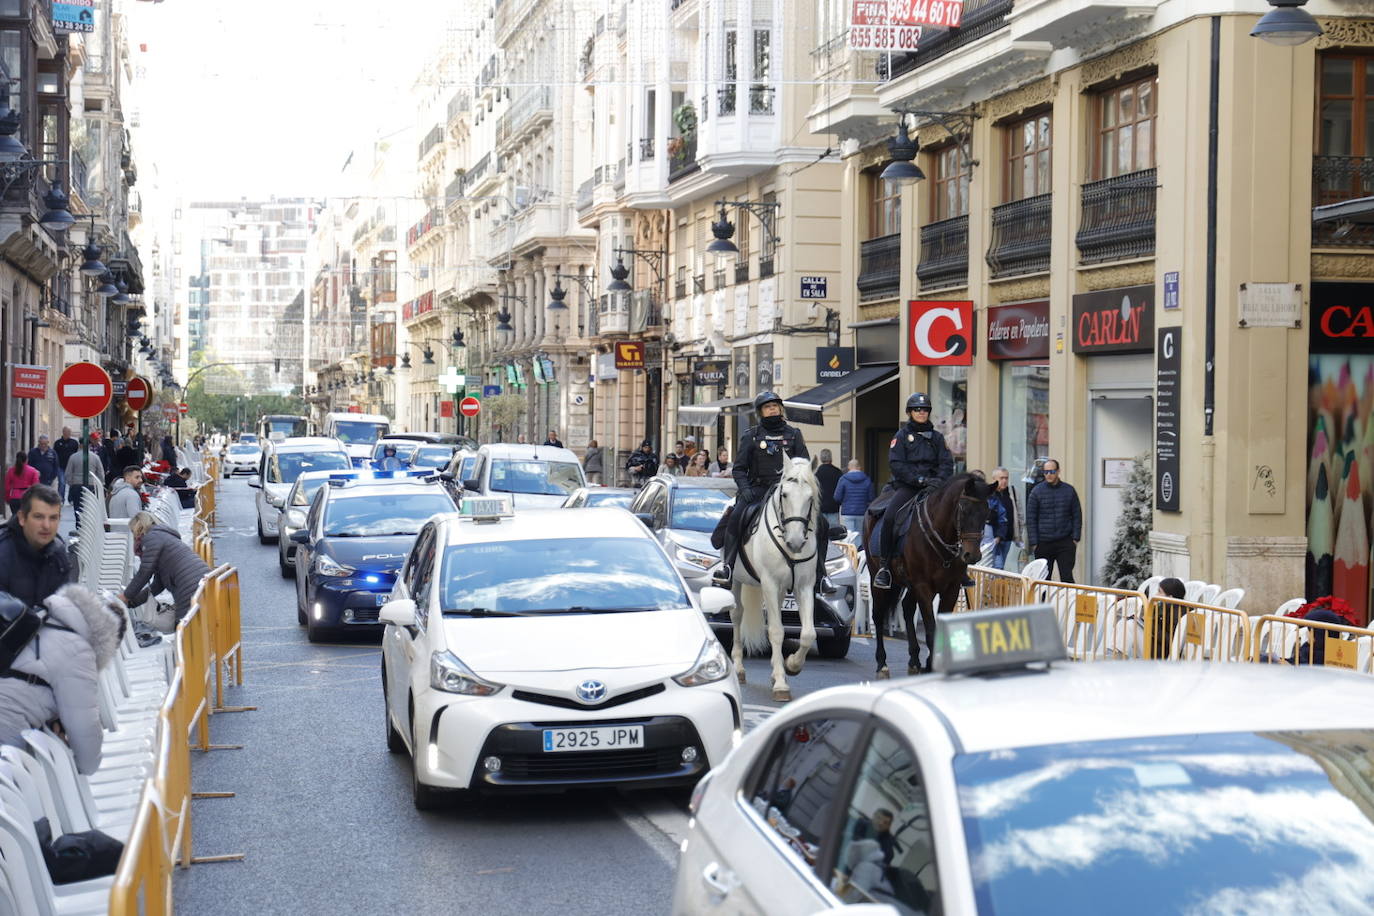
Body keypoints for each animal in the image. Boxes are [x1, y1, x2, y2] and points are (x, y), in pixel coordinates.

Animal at [730, 455, 813, 703]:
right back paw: (739, 668)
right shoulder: (769, 583)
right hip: (736, 581)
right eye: (784, 494)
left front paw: (792, 665)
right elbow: (776, 631)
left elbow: (808, 634)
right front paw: (781, 684)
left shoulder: (804, 586)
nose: (795, 542)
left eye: (810, 498)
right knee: (737, 615)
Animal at [862, 477, 994, 678]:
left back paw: (914, 661)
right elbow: (931, 629)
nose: (972, 555)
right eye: (964, 510)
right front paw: (931, 666)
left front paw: (930, 663)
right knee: (878, 615)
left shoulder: (950, 589)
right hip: (876, 577)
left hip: (910, 585)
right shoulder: (923, 587)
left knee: (907, 608)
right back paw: (882, 665)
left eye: (986, 512)